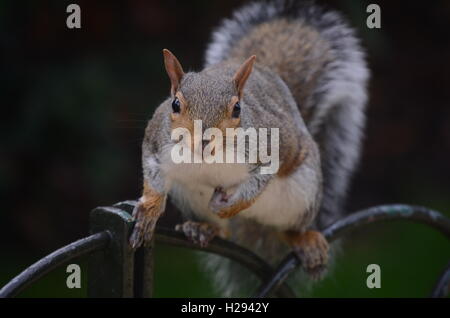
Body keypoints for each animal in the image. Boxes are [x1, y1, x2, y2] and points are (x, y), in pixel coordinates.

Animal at [128, 0, 368, 298]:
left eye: (237, 109)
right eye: (175, 104)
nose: (204, 139)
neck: (208, 158)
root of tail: (253, 223)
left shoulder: (269, 149)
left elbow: (256, 184)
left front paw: (229, 206)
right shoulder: (155, 142)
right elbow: (153, 177)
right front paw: (149, 211)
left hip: (304, 194)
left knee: (286, 230)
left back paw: (305, 241)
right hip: (190, 197)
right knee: (226, 233)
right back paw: (206, 229)